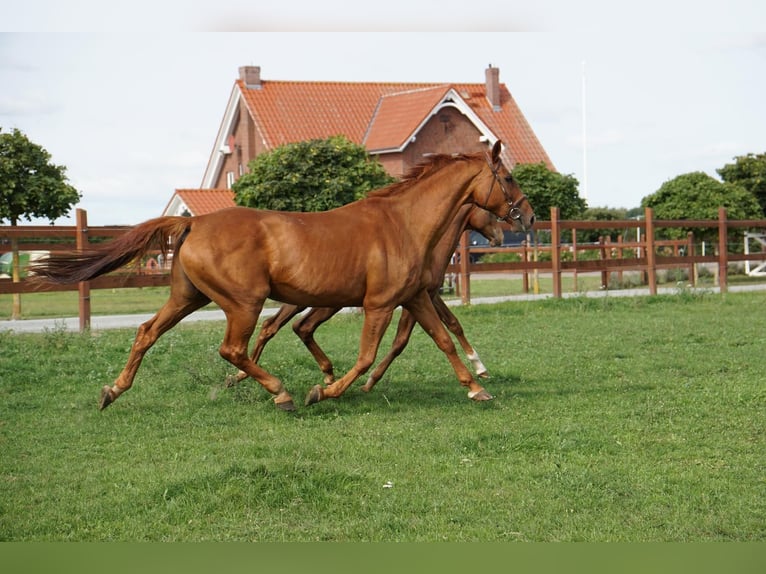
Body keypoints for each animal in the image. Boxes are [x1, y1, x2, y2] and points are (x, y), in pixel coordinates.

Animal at [226, 203, 504, 390]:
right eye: (490, 213)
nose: (499, 238)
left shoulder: (422, 296)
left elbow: (449, 325)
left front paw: (480, 369)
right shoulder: (421, 296)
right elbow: (411, 338)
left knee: (288, 326)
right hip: (315, 302)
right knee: (282, 326)